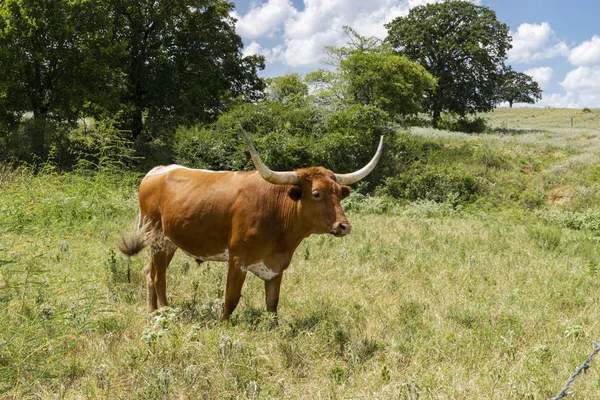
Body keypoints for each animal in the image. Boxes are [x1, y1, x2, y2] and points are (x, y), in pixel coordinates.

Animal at [120, 128, 384, 322]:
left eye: (339, 193)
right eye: (317, 194)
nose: (344, 226)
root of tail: (156, 171)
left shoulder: (277, 265)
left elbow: (272, 304)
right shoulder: (238, 260)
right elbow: (231, 299)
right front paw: (222, 326)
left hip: (169, 243)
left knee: (150, 272)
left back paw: (152, 312)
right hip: (157, 238)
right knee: (159, 277)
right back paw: (166, 313)